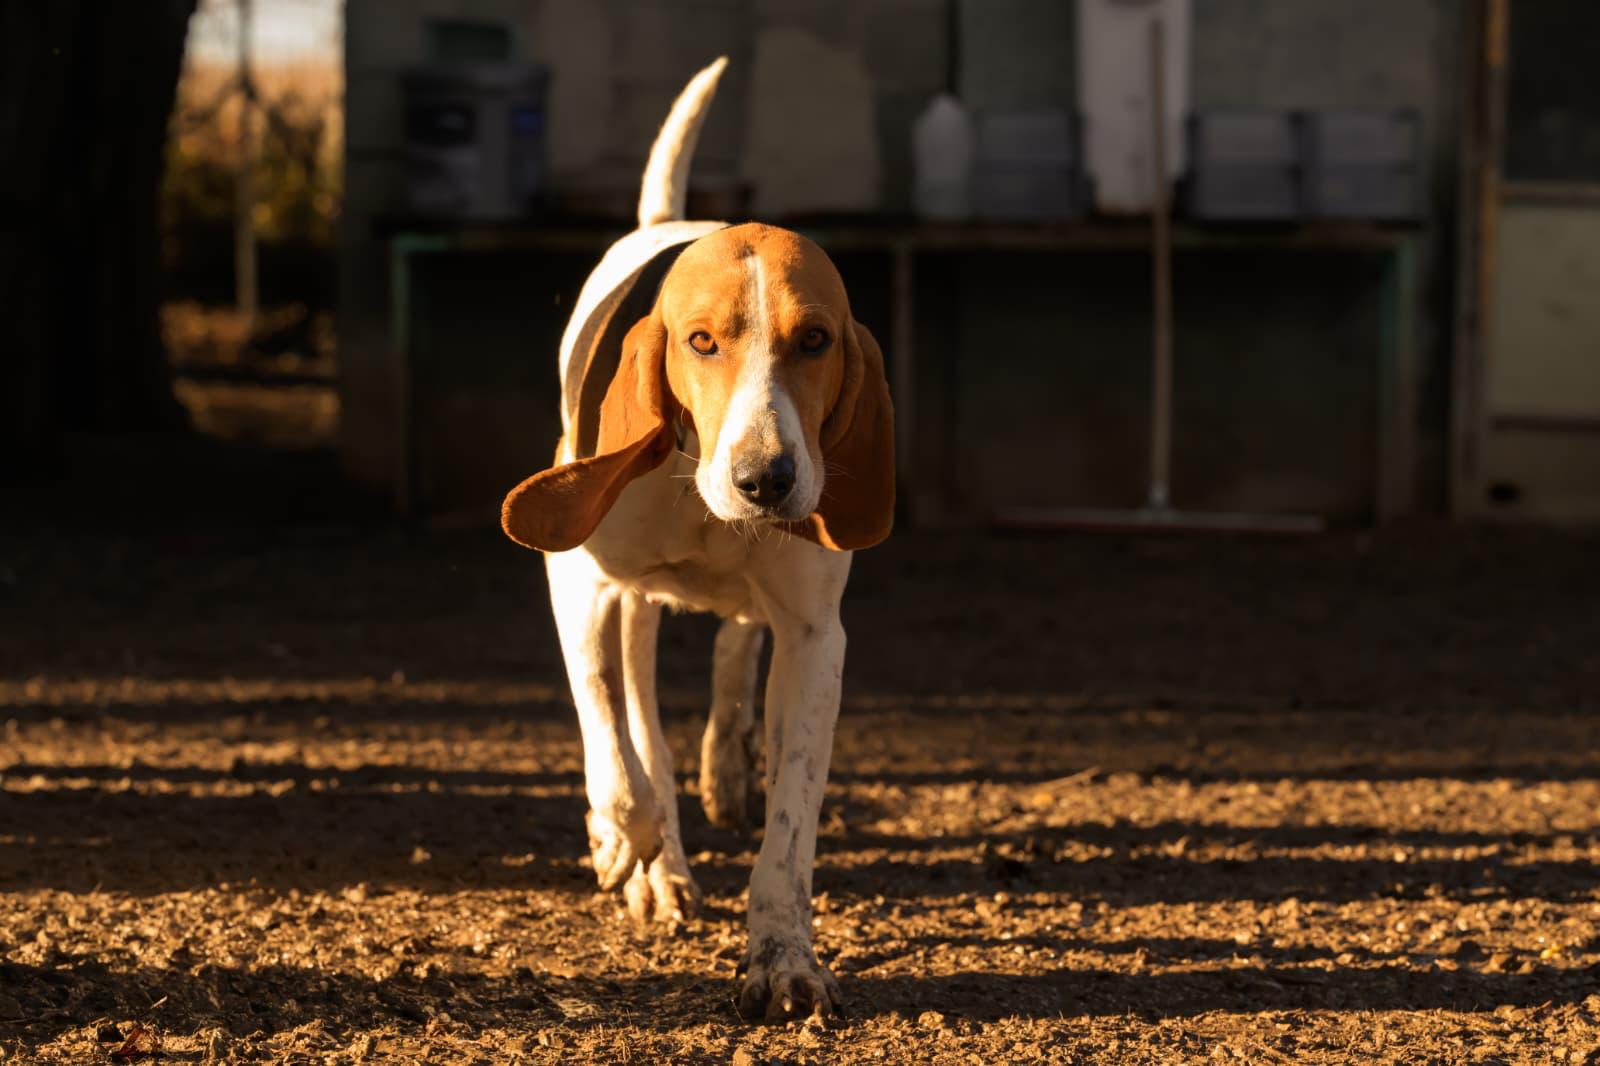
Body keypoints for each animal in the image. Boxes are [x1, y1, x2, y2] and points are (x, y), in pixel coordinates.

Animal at [500, 57, 894, 1021]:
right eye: (701, 342)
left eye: (816, 340)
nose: (767, 480)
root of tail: (664, 221)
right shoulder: (582, 587)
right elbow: (620, 740)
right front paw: (624, 843)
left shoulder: (816, 639)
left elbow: (791, 826)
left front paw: (782, 956)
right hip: (627, 600)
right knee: (642, 719)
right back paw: (654, 856)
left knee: (734, 644)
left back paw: (725, 763)